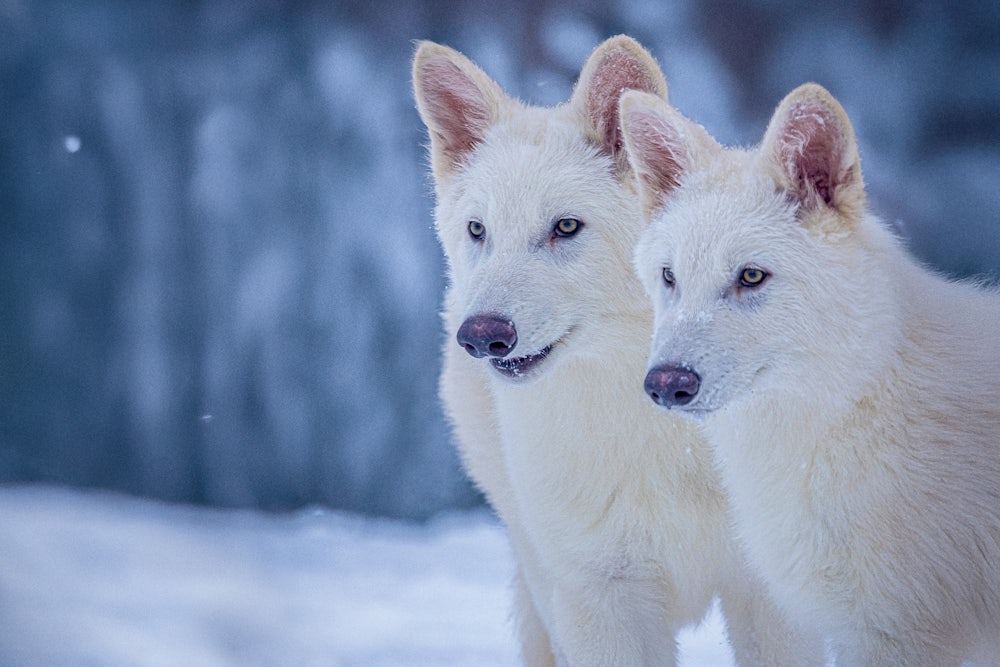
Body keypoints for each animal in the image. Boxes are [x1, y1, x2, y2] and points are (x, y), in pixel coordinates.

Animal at [412, 36, 823, 666]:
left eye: (565, 227)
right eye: (479, 230)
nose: (481, 335)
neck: (663, 437)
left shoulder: (768, 595)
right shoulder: (599, 598)